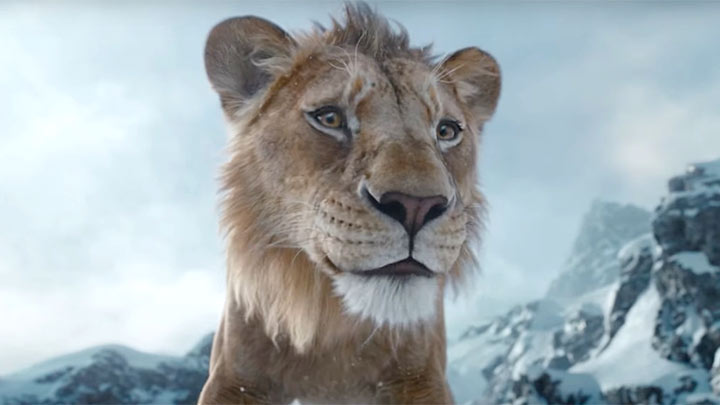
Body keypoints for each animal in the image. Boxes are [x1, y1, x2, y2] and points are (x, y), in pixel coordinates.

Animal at [198, 3, 500, 404]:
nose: (417, 206)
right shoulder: (234, 377)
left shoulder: (422, 378)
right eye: (330, 117)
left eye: (446, 130)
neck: (335, 336)